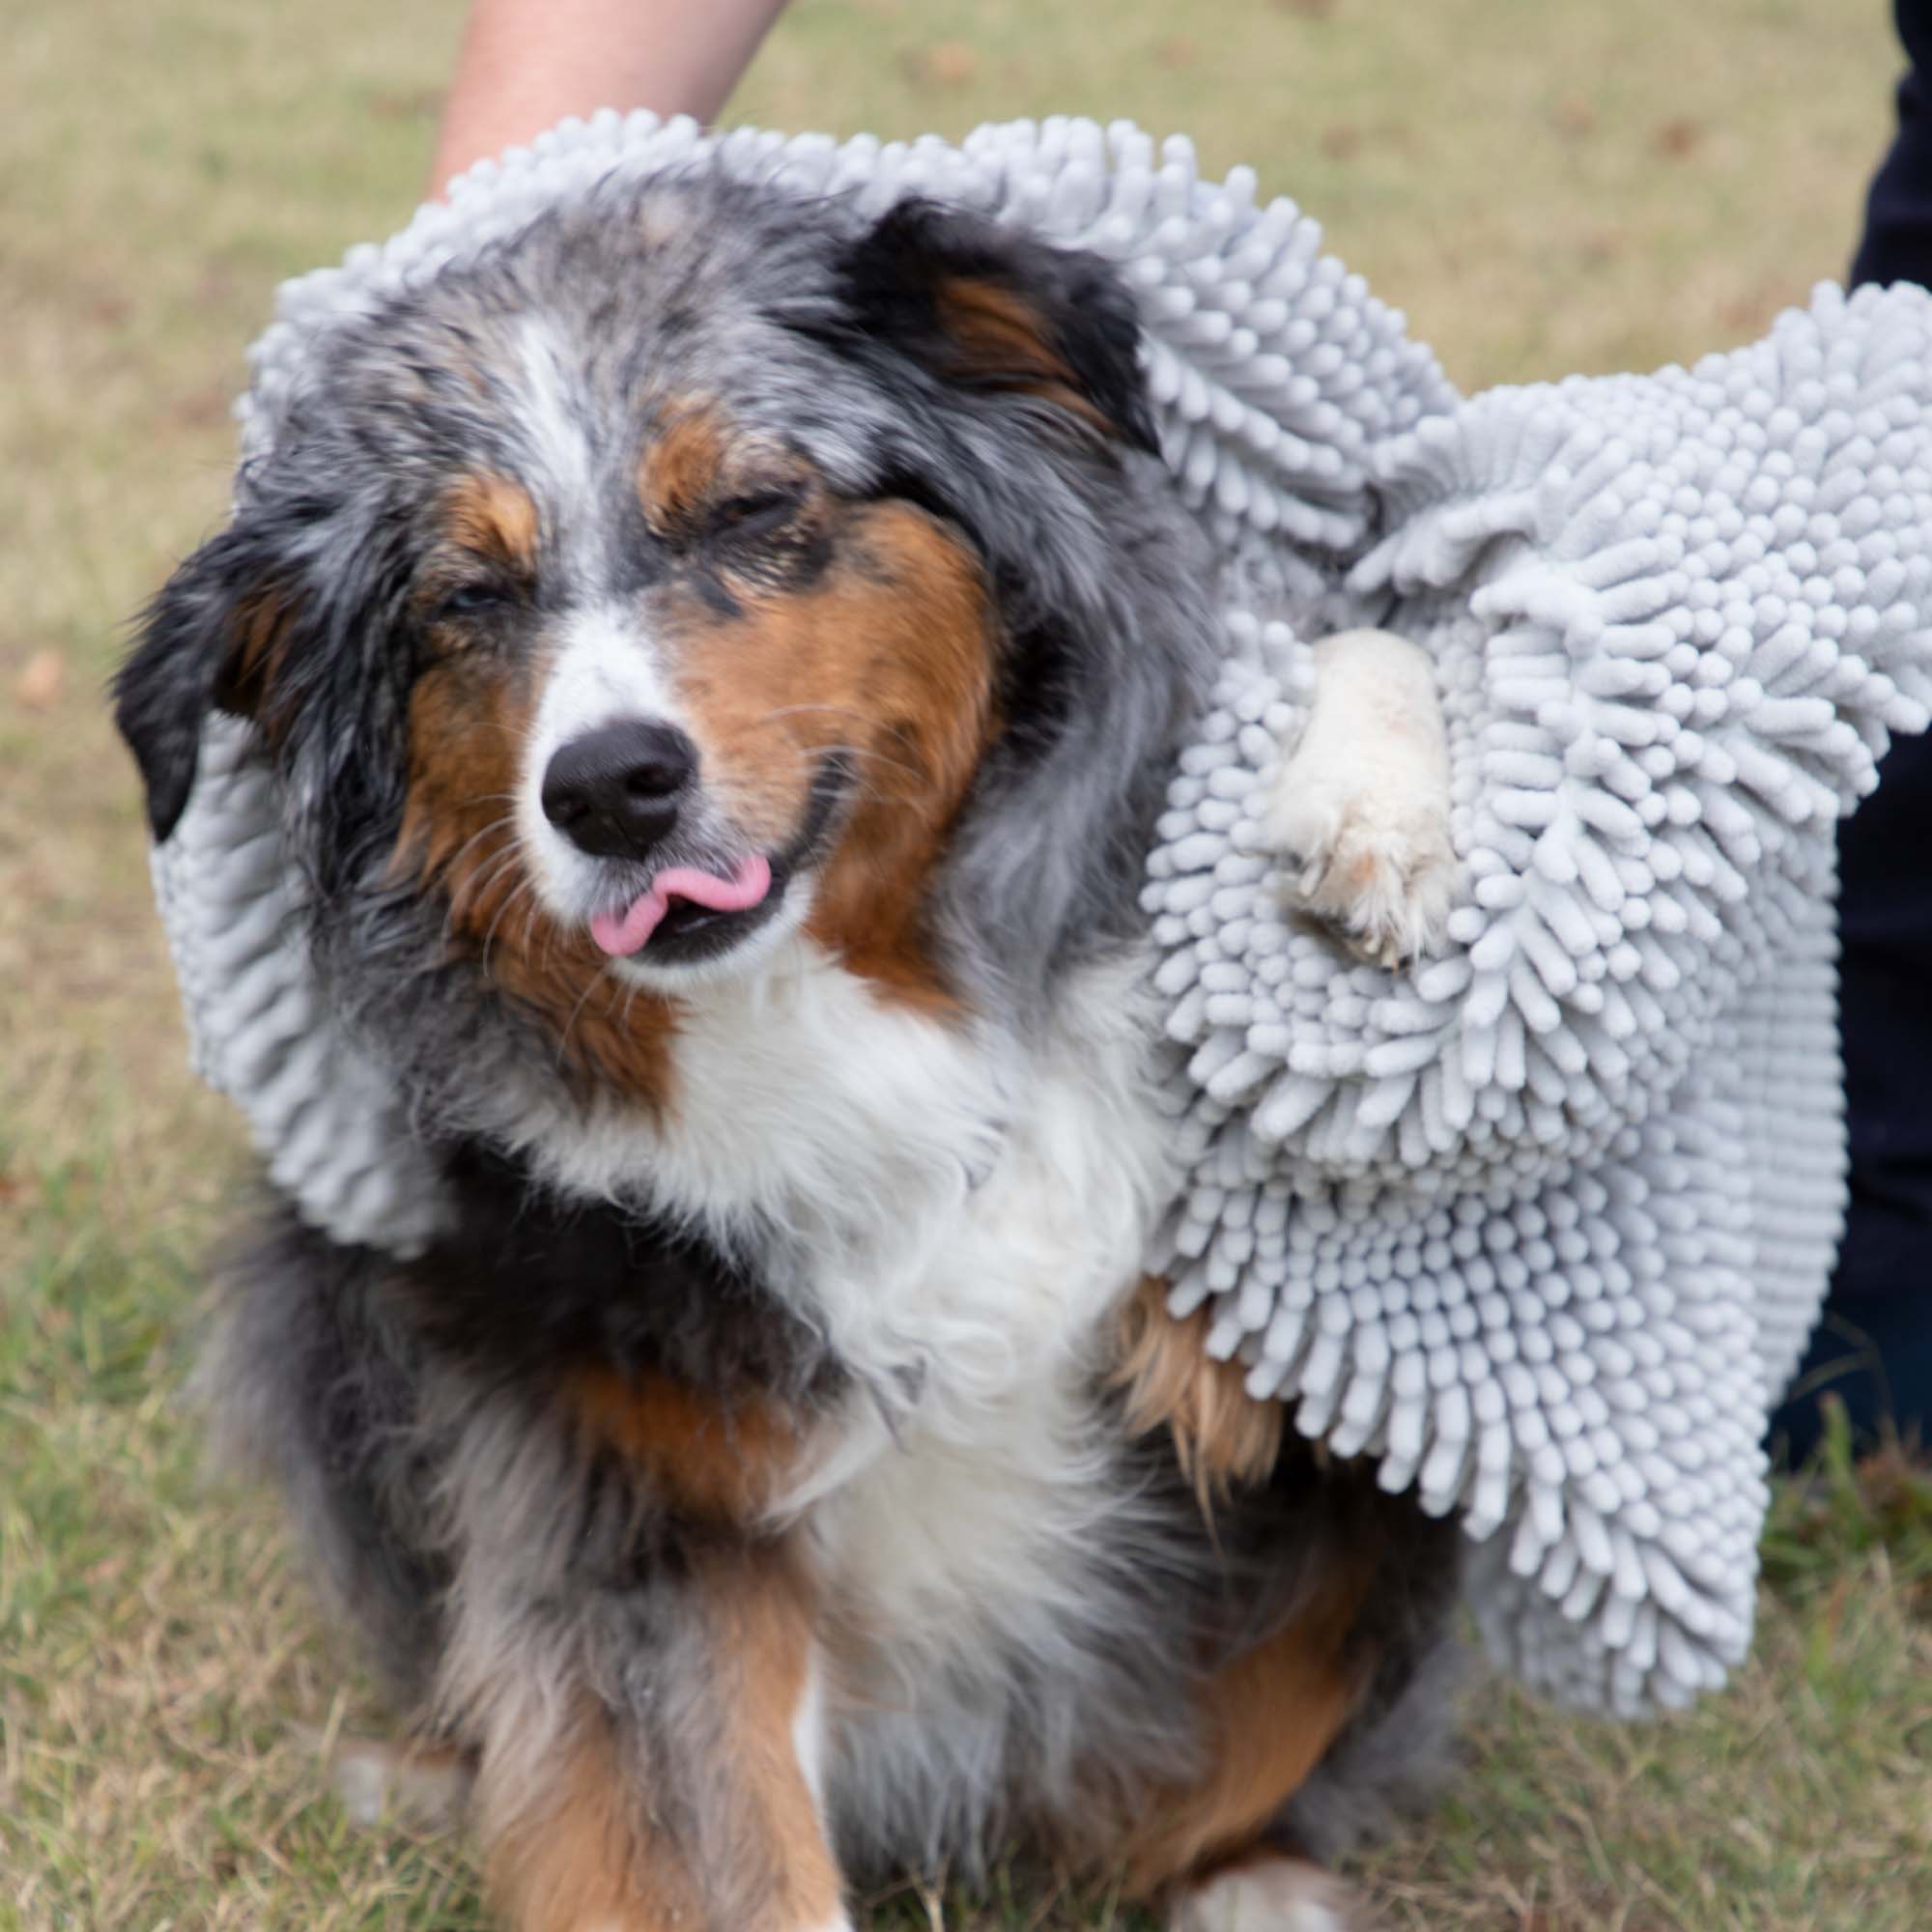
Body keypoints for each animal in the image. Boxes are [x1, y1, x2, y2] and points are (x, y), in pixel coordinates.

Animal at [113, 170, 1453, 1932]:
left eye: (754, 509)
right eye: (466, 599)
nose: (609, 789)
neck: (852, 1002)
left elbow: (1337, 646)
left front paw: (1374, 820)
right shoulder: (636, 1489)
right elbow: (711, 1848)